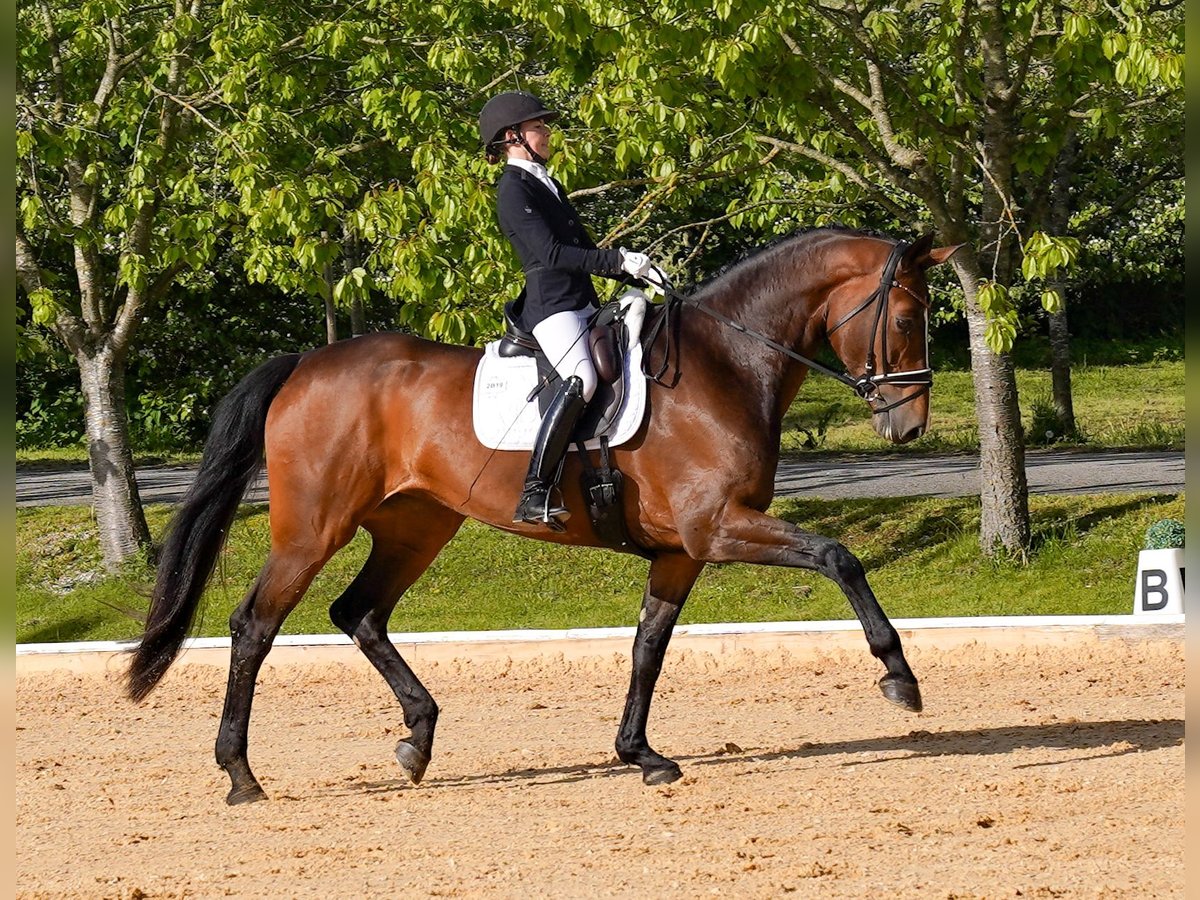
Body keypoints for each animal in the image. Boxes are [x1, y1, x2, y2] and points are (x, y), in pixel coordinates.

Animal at [126, 229, 960, 806]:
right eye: (907, 316)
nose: (909, 425)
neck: (724, 365)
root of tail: (306, 362)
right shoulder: (719, 526)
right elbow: (838, 555)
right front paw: (900, 678)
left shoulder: (683, 550)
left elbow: (648, 648)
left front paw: (641, 755)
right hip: (311, 529)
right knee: (254, 627)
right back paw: (241, 775)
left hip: (417, 527)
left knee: (358, 612)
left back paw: (417, 740)